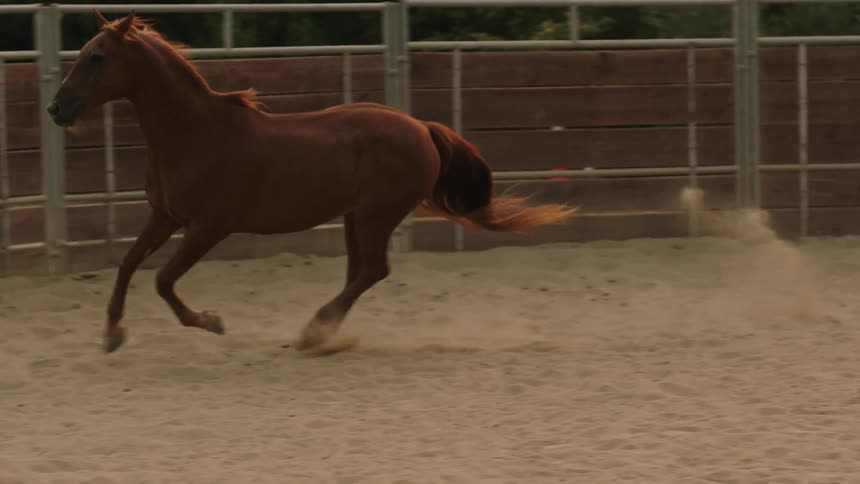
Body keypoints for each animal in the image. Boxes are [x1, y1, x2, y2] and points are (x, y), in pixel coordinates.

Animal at [47, 11, 578, 354]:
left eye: (97, 57)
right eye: (84, 53)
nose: (56, 108)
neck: (195, 132)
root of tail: (420, 127)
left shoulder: (209, 226)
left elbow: (161, 279)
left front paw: (211, 322)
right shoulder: (165, 216)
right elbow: (127, 264)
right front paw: (112, 334)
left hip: (377, 214)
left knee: (374, 270)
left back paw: (312, 332)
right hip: (354, 217)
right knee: (360, 273)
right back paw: (323, 331)